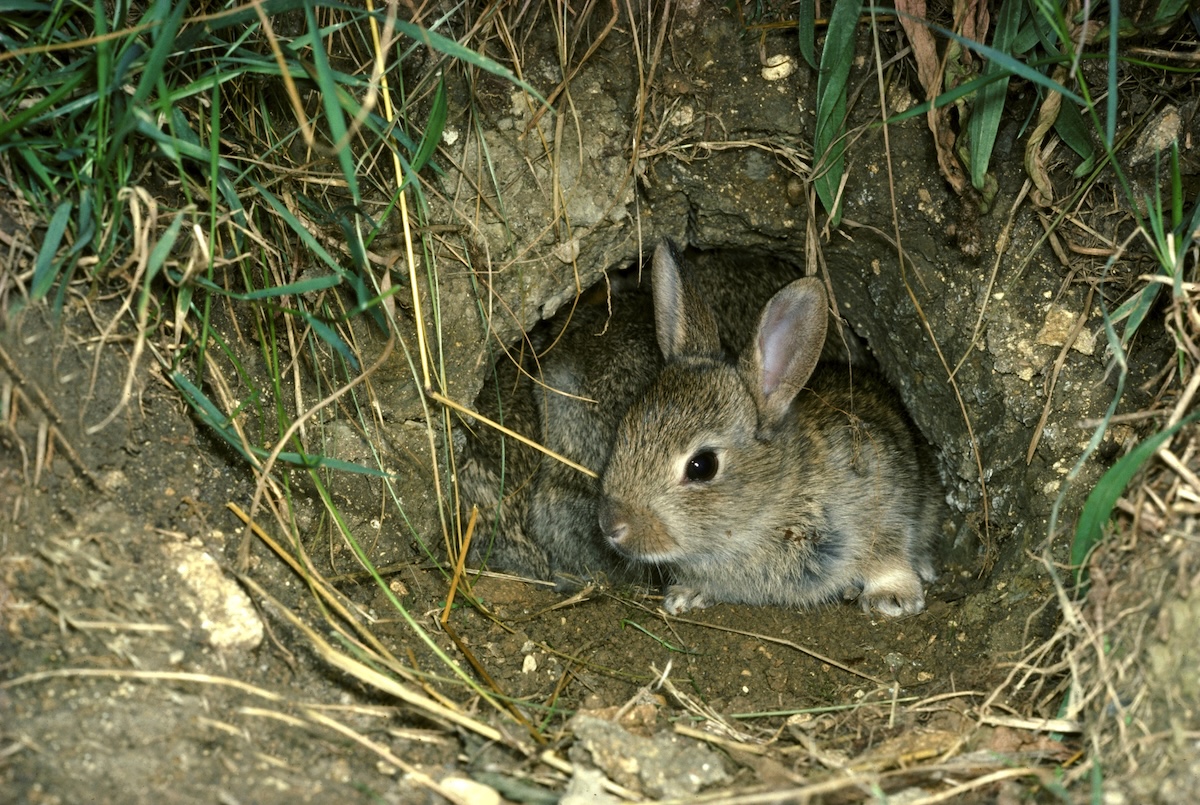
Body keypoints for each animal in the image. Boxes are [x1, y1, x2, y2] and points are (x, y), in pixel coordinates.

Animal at [595, 242, 940, 614]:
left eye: (702, 466)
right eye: (623, 431)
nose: (612, 525)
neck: (772, 501)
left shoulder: (882, 497)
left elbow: (887, 550)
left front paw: (893, 597)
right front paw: (685, 595)